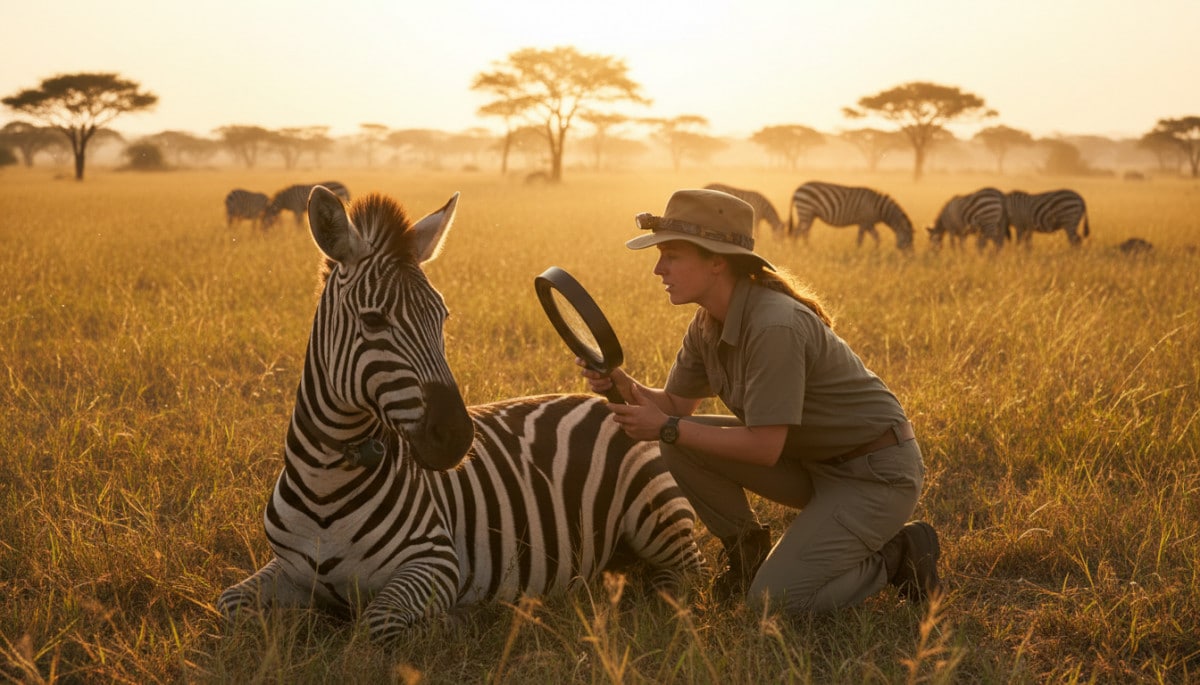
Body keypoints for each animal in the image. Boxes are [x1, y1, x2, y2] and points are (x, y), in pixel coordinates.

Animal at [218, 187, 702, 641]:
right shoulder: (286, 567)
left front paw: (459, 620)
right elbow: (230, 604)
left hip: (658, 514)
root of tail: (607, 401)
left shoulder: (436, 560)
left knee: (684, 579)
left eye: (443, 317)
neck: (326, 482)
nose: (456, 435)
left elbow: (377, 623)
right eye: (372, 321)